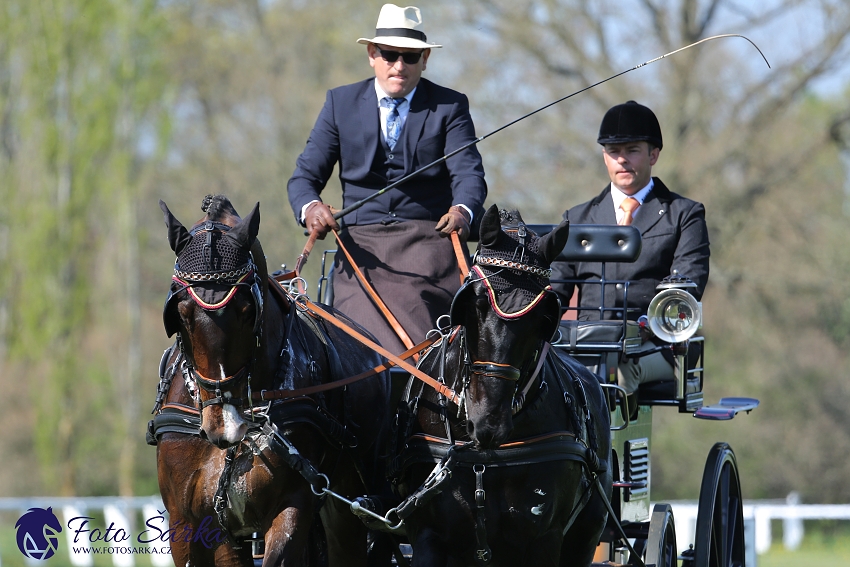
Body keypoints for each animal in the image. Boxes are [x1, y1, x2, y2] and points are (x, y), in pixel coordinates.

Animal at [151, 196, 390, 567]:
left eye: (248, 310)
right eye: (183, 312)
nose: (223, 424)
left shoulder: (292, 505)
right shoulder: (191, 522)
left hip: (346, 507)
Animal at [388, 206, 612, 564]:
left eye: (543, 317)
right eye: (476, 303)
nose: (489, 422)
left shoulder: (543, 539)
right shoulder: (428, 535)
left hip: (586, 535)